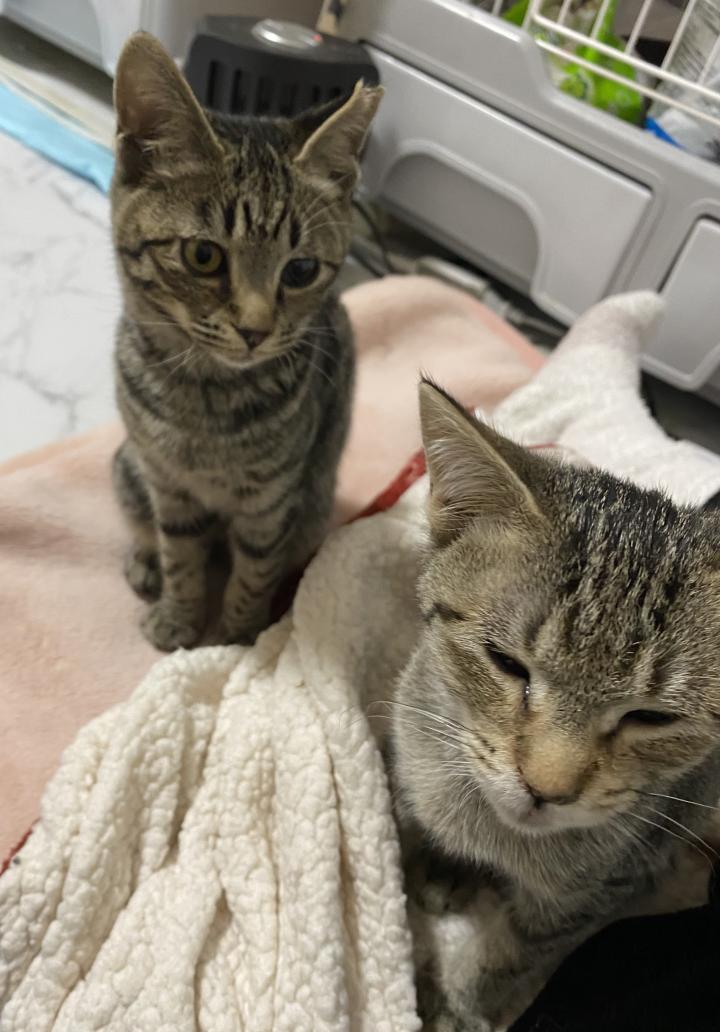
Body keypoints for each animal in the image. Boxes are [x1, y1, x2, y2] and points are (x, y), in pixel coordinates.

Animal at [110, 32, 381, 651]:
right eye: (203, 256)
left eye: (300, 270)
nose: (255, 330)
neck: (203, 397)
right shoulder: (167, 485)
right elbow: (181, 556)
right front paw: (179, 617)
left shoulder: (271, 502)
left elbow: (254, 574)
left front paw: (235, 641)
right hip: (126, 468)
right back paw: (144, 561)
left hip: (312, 505)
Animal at [391, 379, 720, 1031]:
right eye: (506, 663)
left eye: (653, 717)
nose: (546, 789)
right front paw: (444, 864)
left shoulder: (607, 885)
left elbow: (516, 955)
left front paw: (463, 1008)